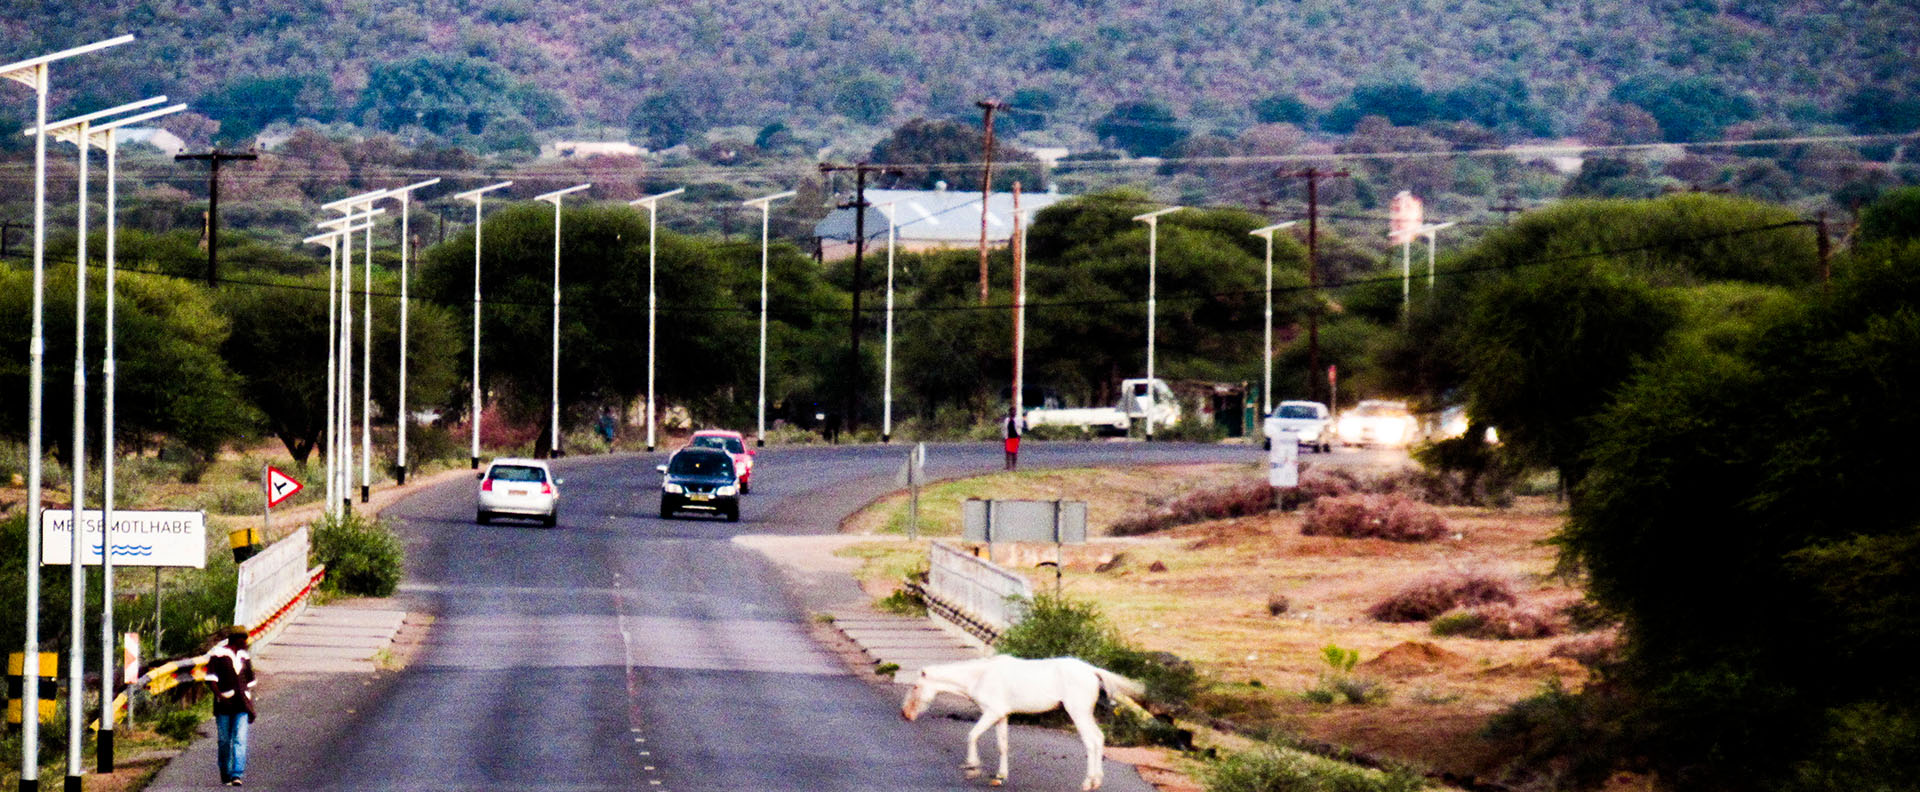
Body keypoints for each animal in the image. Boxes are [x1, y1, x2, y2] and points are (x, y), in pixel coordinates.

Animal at [894, 652, 1144, 786]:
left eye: (915, 686)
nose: (905, 714)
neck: (980, 676)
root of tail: (1092, 671)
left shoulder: (992, 712)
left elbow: (972, 735)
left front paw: (973, 767)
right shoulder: (1002, 716)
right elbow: (1002, 745)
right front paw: (1000, 776)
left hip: (1078, 712)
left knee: (1091, 742)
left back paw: (1087, 782)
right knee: (1099, 739)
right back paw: (1097, 781)